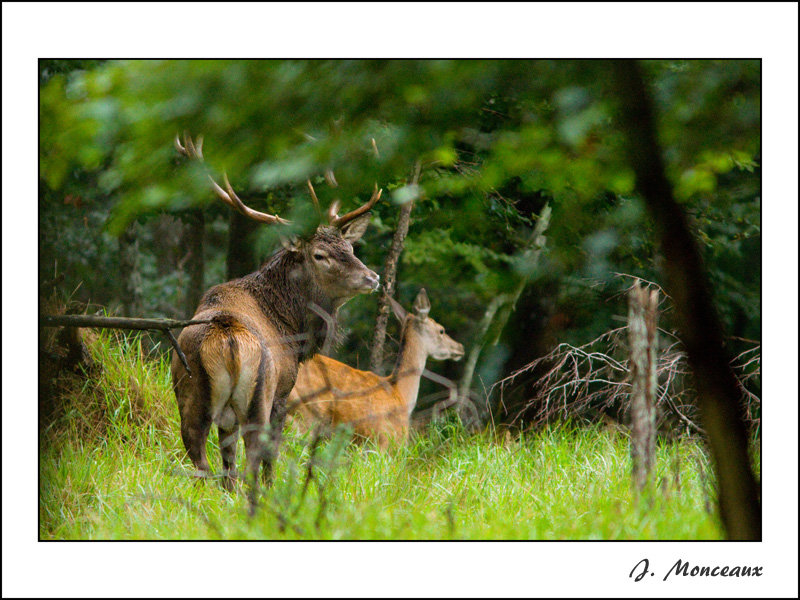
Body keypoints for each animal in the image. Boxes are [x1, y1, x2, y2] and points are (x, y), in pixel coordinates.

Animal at [171, 133, 381, 495]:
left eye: (350, 247)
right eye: (320, 255)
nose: (372, 278)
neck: (292, 326)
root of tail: (227, 340)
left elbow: (227, 465)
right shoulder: (284, 391)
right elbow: (273, 454)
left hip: (189, 392)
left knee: (203, 460)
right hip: (260, 395)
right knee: (255, 457)